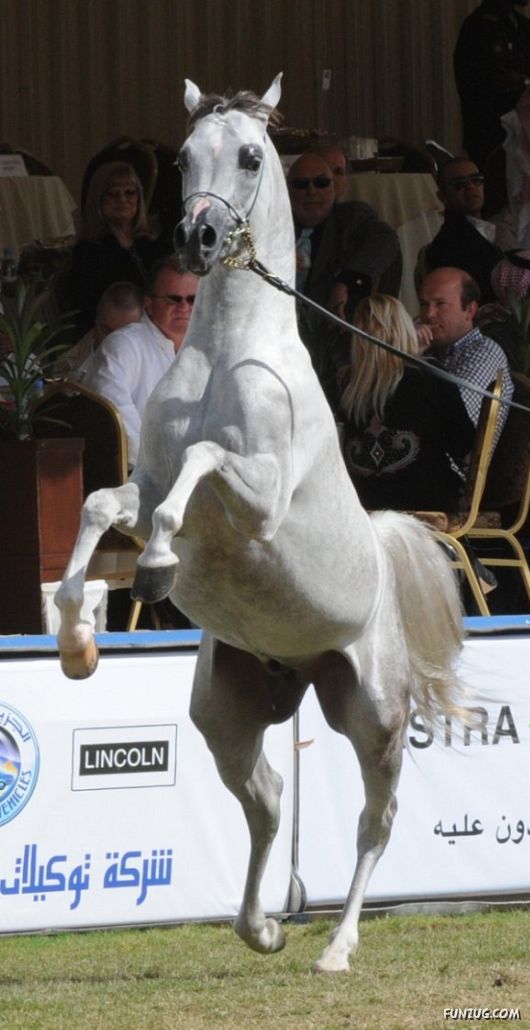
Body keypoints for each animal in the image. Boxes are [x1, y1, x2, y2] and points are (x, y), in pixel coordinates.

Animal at [55, 74, 467, 973]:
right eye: (180, 159)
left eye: (249, 155)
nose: (196, 237)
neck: (227, 351)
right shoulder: (145, 481)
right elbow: (102, 504)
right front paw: (75, 638)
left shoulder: (257, 502)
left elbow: (201, 467)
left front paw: (155, 571)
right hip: (228, 713)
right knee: (270, 801)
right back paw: (266, 927)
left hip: (373, 714)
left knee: (375, 822)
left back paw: (337, 946)